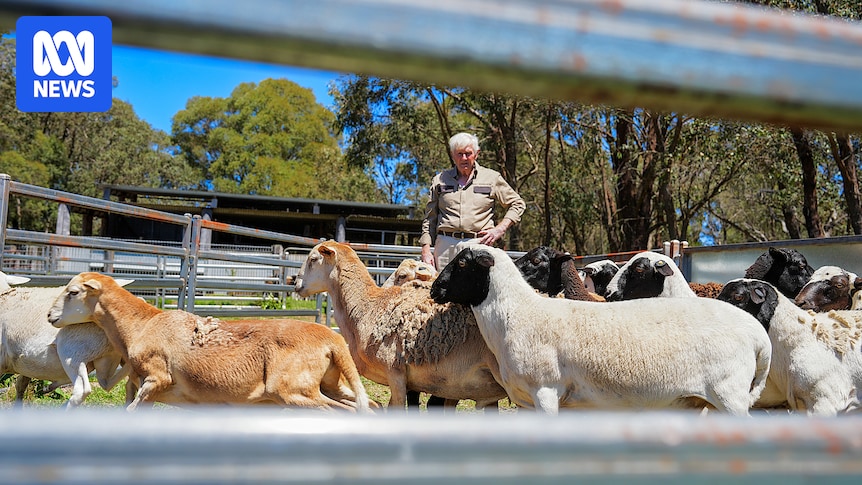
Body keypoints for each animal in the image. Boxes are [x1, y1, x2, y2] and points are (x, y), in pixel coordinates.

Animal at [0, 271, 126, 408]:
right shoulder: (24, 362)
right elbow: (21, 384)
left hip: (72, 352)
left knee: (82, 390)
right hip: (109, 359)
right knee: (109, 383)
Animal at [46, 272, 372, 412]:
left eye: (73, 292)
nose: (50, 316)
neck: (140, 325)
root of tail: (332, 339)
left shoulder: (157, 379)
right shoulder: (139, 385)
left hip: (293, 391)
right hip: (329, 384)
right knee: (372, 405)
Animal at [429, 244, 771, 415]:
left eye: (462, 264)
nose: (435, 289)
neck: (517, 314)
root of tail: (759, 337)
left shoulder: (546, 392)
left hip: (729, 395)